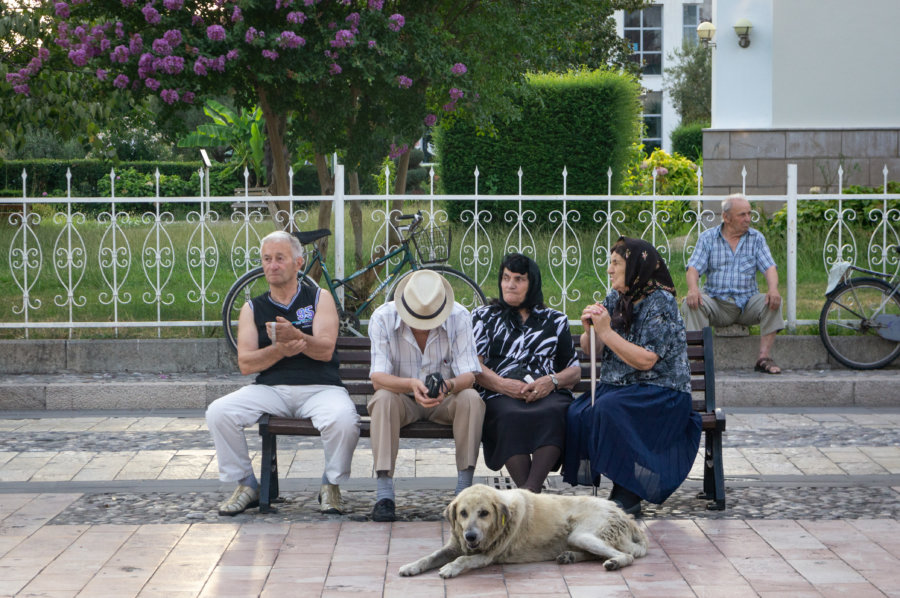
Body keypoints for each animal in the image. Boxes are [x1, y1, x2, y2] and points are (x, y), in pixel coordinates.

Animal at [400, 488, 648, 580]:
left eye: (484, 513)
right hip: (579, 538)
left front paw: (451, 567)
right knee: (598, 553)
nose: (470, 536)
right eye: (463, 513)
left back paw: (614, 563)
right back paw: (569, 556)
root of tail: (624, 514)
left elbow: (463, 559)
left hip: (583, 535)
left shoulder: (487, 556)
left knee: (626, 555)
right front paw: (411, 566)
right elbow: (430, 556)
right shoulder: (454, 546)